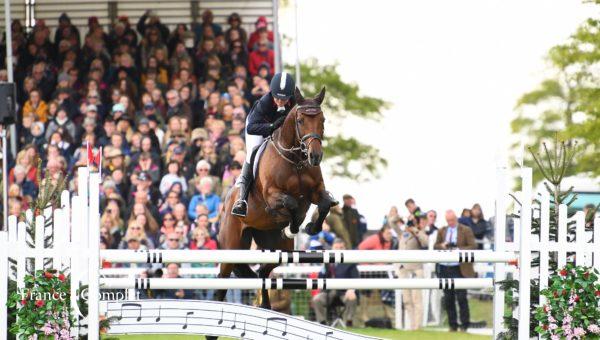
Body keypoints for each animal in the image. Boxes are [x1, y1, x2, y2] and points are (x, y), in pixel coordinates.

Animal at [216, 87, 338, 308]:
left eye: (322, 120)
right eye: (300, 120)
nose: (315, 156)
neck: (295, 159)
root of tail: (225, 204)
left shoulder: (316, 191)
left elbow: (324, 204)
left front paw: (310, 227)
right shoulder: (272, 196)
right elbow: (291, 203)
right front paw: (293, 227)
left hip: (277, 248)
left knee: (263, 272)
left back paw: (265, 305)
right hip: (231, 247)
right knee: (222, 281)